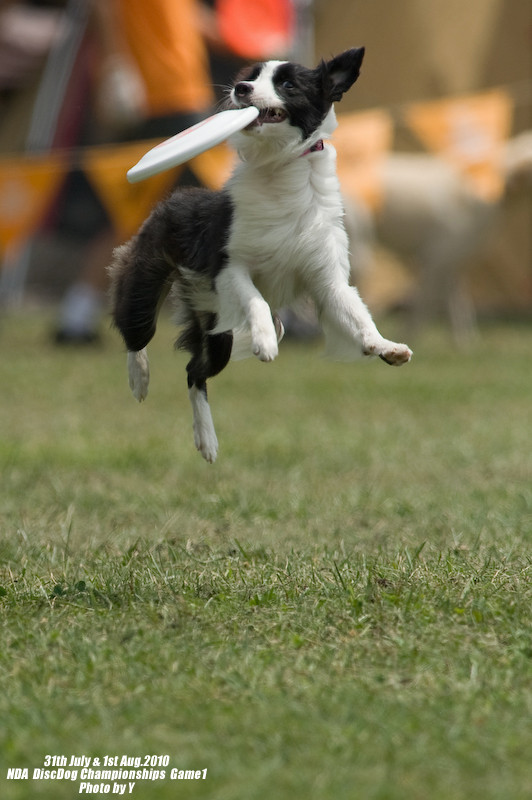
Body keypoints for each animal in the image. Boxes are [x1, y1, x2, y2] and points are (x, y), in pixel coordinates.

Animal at [110, 50, 414, 462]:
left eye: (287, 84)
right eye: (252, 77)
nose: (240, 88)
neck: (278, 166)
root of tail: (173, 199)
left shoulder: (328, 277)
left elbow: (358, 315)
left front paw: (385, 347)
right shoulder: (228, 267)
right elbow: (256, 300)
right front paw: (265, 341)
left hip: (216, 333)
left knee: (194, 372)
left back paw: (207, 441)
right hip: (146, 276)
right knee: (136, 331)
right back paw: (139, 378)